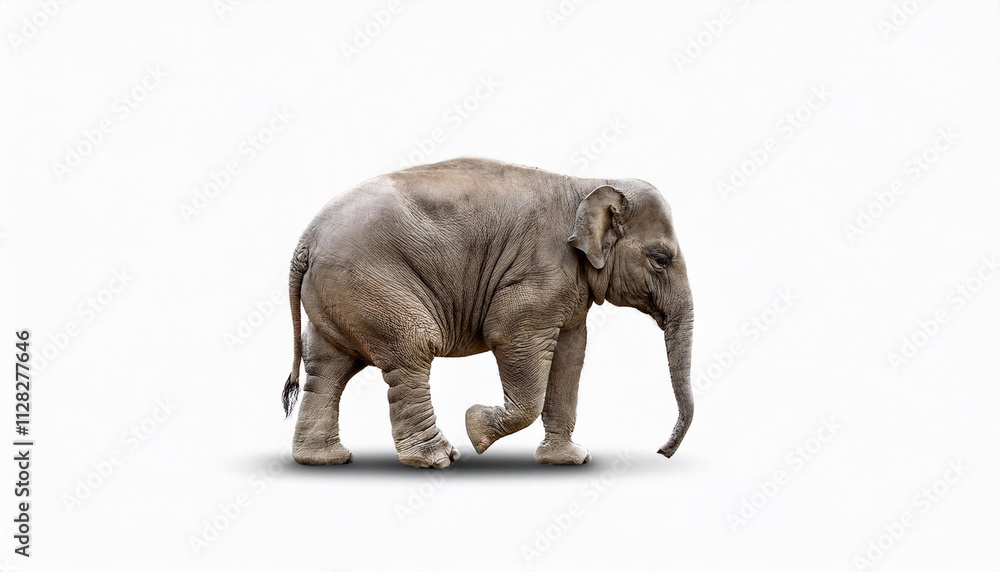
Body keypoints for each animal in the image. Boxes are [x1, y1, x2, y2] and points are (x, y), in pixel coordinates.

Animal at [281, 157, 694, 468]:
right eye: (660, 259)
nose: (662, 451)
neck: (585, 184)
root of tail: (305, 241)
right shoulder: (537, 275)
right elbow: (511, 335)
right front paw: (476, 429)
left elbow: (571, 355)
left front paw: (571, 459)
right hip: (371, 285)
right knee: (413, 349)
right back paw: (439, 459)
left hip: (338, 295)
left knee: (328, 366)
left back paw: (324, 459)